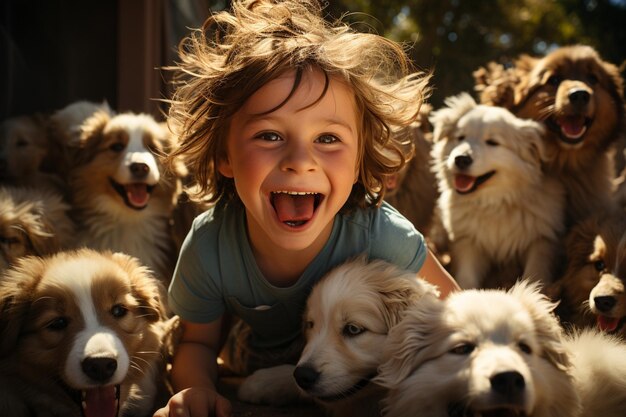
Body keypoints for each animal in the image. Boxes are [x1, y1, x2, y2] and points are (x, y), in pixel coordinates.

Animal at [432, 92, 564, 288]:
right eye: (460, 137)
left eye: (492, 142)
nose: (461, 159)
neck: (496, 203)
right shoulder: (469, 243)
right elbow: (466, 277)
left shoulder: (542, 241)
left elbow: (534, 275)